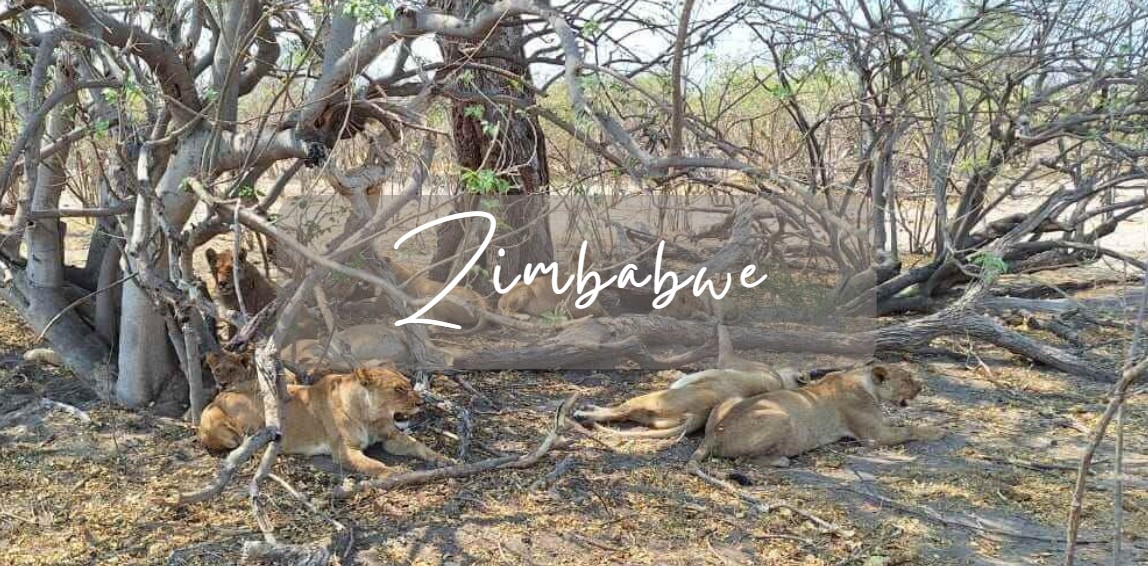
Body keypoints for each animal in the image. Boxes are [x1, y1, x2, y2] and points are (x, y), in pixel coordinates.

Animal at [197, 367, 450, 475]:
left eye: (409, 385)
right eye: (398, 389)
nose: (421, 403)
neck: (369, 417)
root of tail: (219, 395)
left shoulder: (391, 437)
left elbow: (420, 446)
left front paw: (445, 460)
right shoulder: (345, 451)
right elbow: (376, 466)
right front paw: (396, 474)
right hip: (222, 427)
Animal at [687, 364, 943, 468]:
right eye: (907, 379)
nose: (921, 387)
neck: (866, 383)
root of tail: (713, 434)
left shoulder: (879, 423)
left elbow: (897, 421)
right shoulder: (874, 436)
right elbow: (909, 429)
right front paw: (937, 430)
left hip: (733, 399)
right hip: (782, 417)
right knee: (741, 460)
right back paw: (781, 460)